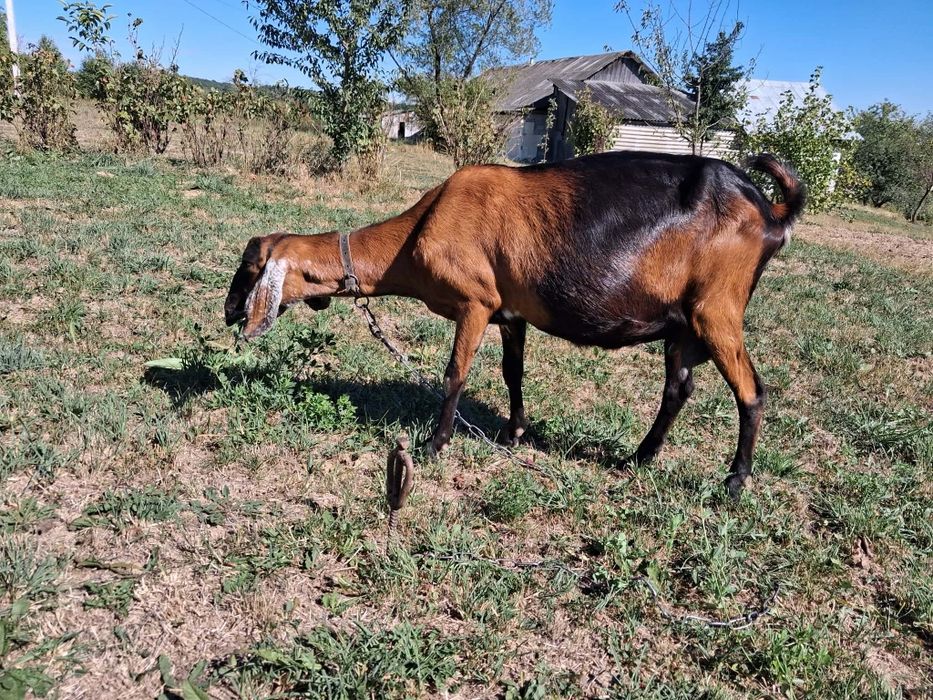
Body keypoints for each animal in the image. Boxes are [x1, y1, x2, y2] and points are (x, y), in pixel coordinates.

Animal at [224, 151, 805, 497]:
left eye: (249, 269)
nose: (229, 313)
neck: (421, 227)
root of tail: (771, 211)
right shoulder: (510, 313)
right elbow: (512, 372)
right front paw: (514, 432)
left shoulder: (475, 303)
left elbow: (455, 373)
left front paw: (436, 444)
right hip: (685, 324)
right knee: (678, 388)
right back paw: (640, 458)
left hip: (717, 310)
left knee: (752, 391)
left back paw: (735, 480)